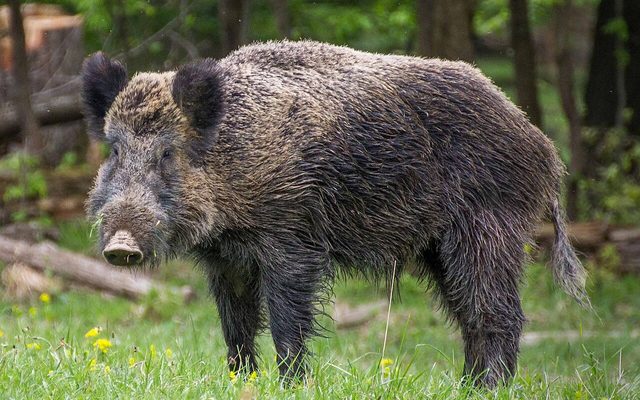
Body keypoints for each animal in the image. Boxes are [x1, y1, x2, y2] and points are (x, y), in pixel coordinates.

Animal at [82, 40, 588, 388]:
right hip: (439, 249)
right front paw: (241, 381)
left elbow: (287, 321)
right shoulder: (227, 260)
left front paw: (290, 385)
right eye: (114, 149)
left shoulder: (292, 238)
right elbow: (235, 326)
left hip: (488, 227)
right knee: (469, 315)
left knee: (498, 312)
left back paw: (488, 388)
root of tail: (544, 148)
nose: (121, 246)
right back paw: (466, 386)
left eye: (168, 153)